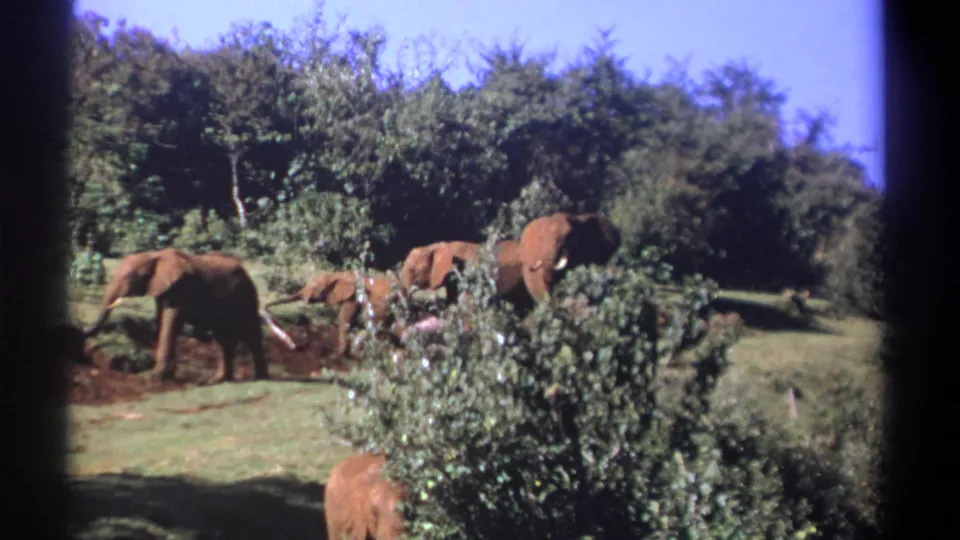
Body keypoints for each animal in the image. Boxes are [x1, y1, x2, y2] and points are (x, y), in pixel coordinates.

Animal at [81, 248, 298, 384]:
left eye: (128, 277)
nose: (83, 330)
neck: (154, 255)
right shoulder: (163, 290)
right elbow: (162, 321)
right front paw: (167, 375)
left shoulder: (181, 289)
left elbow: (171, 322)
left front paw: (154, 378)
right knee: (224, 339)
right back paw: (219, 380)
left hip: (245, 296)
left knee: (249, 334)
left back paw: (260, 378)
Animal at [263, 271, 403, 360]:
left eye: (315, 287)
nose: (294, 346)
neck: (338, 274)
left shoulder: (352, 297)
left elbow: (344, 320)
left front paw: (332, 357)